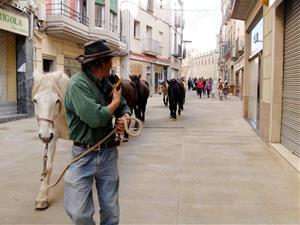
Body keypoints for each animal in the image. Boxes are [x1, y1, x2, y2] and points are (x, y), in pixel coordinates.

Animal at [32, 70, 69, 209]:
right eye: (35, 100)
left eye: (57, 100)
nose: (44, 136)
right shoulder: (52, 138)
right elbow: (47, 166)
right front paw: (42, 197)